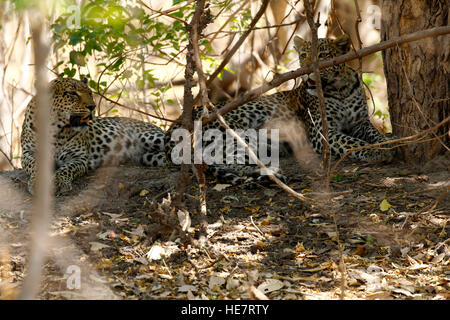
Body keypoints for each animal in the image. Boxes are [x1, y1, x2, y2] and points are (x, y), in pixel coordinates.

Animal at [21, 77, 165, 195]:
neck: (56, 130)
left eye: (90, 93)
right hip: (148, 157)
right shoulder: (28, 153)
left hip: (151, 137)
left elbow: (66, 169)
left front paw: (60, 182)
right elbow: (34, 165)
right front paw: (37, 183)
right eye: (73, 93)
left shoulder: (78, 157)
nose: (92, 107)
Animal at [165, 35, 394, 184]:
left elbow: (374, 134)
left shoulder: (360, 123)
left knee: (220, 161)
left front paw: (388, 144)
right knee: (226, 160)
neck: (341, 89)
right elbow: (352, 142)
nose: (307, 70)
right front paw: (376, 152)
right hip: (237, 133)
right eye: (303, 55)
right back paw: (269, 174)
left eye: (322, 55)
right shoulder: (321, 133)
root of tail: (174, 127)